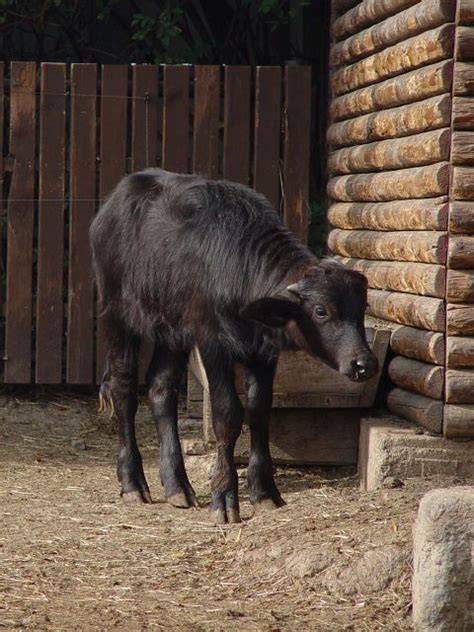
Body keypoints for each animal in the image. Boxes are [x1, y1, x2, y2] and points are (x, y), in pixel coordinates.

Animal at [90, 168, 378, 524]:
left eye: (362, 308)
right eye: (321, 310)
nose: (363, 364)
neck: (239, 272)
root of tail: (113, 204)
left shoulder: (264, 354)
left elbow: (259, 411)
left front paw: (264, 491)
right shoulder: (212, 343)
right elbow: (228, 413)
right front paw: (224, 497)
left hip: (172, 330)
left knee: (161, 387)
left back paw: (176, 485)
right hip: (116, 313)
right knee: (124, 388)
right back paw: (132, 482)